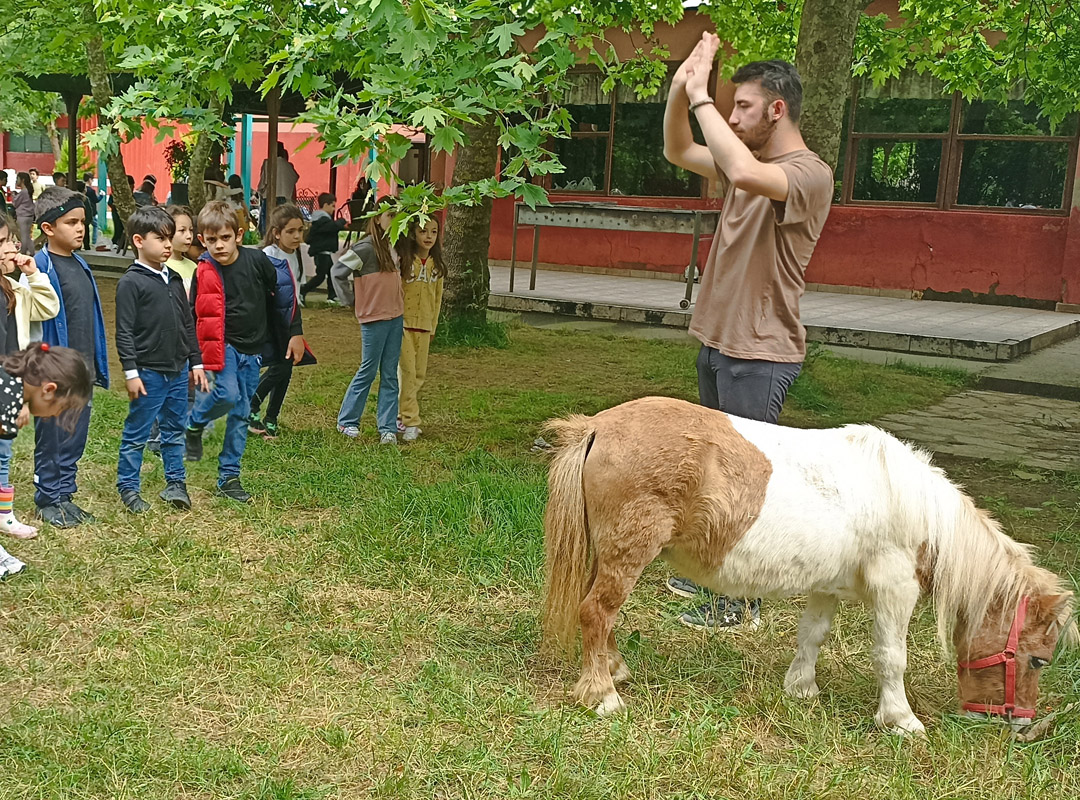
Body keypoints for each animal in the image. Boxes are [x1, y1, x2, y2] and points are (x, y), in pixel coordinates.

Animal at [544, 397, 1075, 734]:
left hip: (610, 554)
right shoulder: (895, 588)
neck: (914, 507)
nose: (1018, 726)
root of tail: (597, 426)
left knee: (601, 613)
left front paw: (801, 689)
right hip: (628, 552)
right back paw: (603, 695)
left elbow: (812, 636)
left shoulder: (827, 586)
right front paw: (901, 720)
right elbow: (891, 655)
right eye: (1038, 659)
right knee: (596, 612)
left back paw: (615, 671)